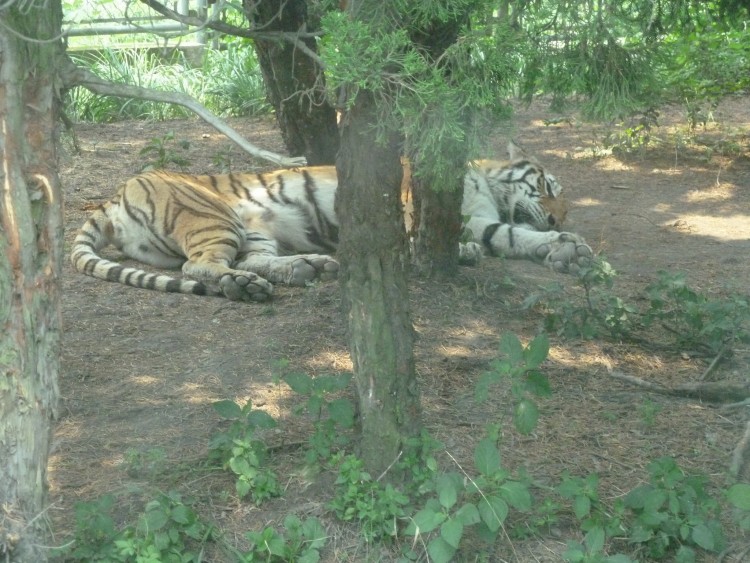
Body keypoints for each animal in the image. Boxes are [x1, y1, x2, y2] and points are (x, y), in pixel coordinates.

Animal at [73, 141, 596, 302]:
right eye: (548, 187)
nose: (557, 216)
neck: (489, 186)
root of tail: (114, 196)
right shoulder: (416, 207)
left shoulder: (487, 220)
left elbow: (510, 234)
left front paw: (568, 248)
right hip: (213, 216)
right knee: (197, 267)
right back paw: (246, 286)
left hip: (254, 228)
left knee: (253, 261)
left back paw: (307, 267)